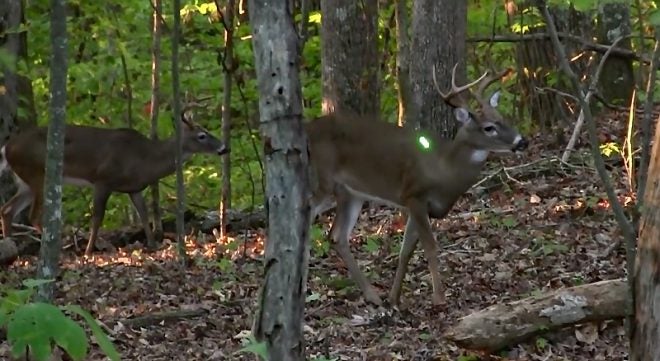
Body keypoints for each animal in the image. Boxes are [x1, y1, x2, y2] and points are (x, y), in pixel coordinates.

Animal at [0, 107, 228, 256]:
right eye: (202, 135)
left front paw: (153, 244)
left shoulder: (134, 188)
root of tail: (7, 147)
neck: (146, 159)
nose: (224, 148)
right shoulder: (103, 180)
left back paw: (11, 246)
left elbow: (144, 215)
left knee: (8, 209)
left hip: (26, 181)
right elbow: (97, 218)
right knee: (32, 215)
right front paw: (89, 251)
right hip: (37, 173)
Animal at [306, 63, 528, 306]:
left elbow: (407, 250)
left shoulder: (418, 205)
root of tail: (308, 129)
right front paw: (439, 298)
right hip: (323, 179)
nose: (522, 141)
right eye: (489, 128)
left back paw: (373, 295)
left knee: (337, 236)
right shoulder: (414, 194)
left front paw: (393, 297)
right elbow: (430, 246)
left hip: (350, 193)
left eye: (503, 119)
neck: (444, 170)